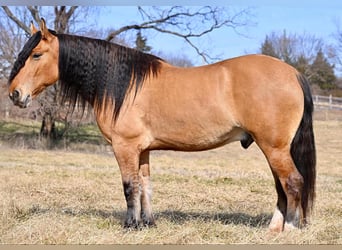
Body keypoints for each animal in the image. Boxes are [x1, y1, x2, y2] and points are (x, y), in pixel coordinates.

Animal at [7, 18, 316, 232]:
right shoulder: (143, 150)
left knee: (292, 182)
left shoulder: (125, 147)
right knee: (281, 186)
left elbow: (129, 186)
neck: (122, 86)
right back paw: (273, 228)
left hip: (274, 147)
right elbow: (145, 185)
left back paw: (290, 228)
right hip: (273, 148)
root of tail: (293, 73)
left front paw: (130, 225)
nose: (14, 94)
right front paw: (147, 223)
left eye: (36, 55)